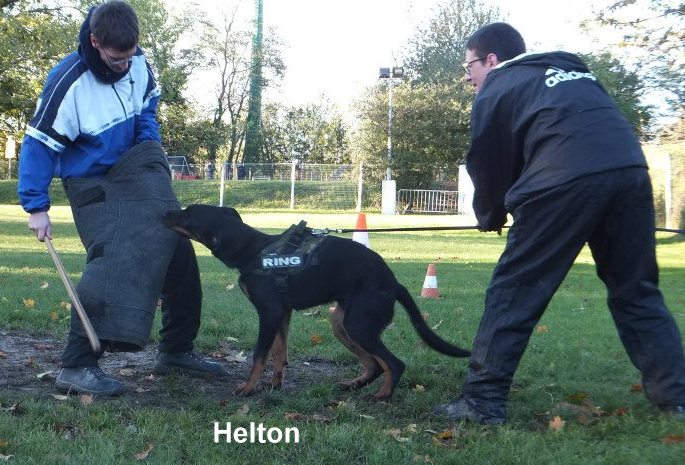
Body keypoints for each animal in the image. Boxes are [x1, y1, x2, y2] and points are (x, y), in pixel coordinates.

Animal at [163, 204, 468, 398]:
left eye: (187, 214)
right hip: (341, 323)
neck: (254, 251)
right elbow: (279, 354)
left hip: (358, 325)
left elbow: (259, 355)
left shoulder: (270, 313)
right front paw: (275, 385)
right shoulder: (283, 315)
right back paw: (354, 385)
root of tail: (394, 283)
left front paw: (249, 388)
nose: (164, 212)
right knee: (373, 365)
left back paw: (381, 397)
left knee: (393, 364)